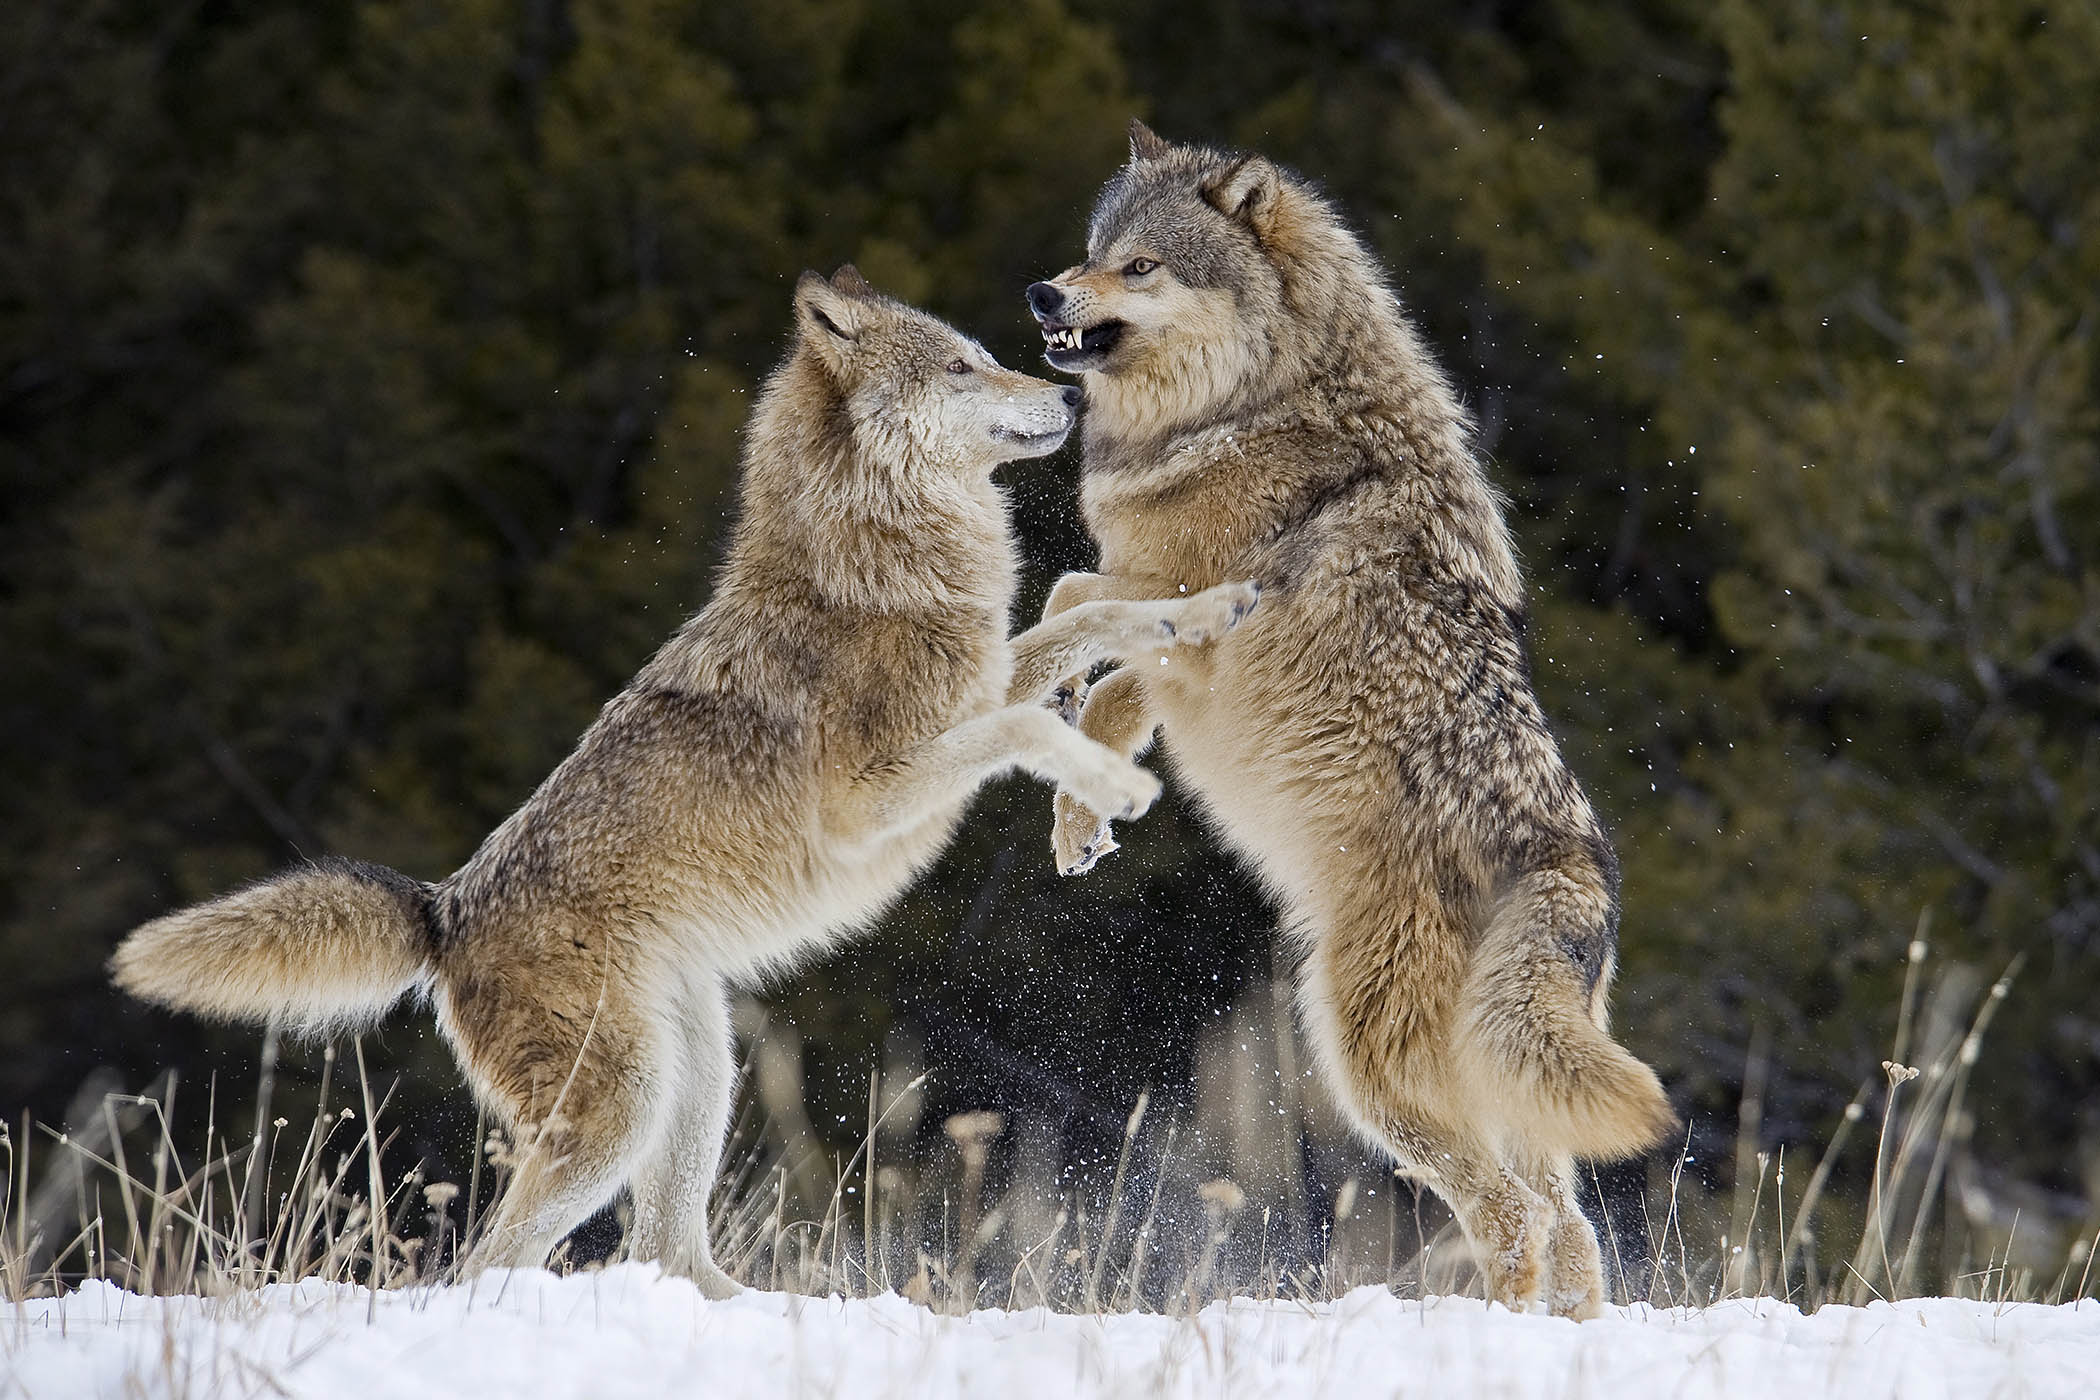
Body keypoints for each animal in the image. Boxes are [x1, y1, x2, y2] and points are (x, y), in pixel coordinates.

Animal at [111, 266, 1259, 1298]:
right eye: (962, 365)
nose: (1072, 396)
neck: (875, 566)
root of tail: (443, 911)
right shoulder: (878, 795)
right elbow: (1033, 710)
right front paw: (1118, 787)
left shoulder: (979, 686)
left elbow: (1092, 616)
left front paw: (1207, 612)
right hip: (620, 1111)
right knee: (491, 1263)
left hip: (699, 1076)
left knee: (665, 1248)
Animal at [1023, 123, 1674, 1318]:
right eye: (1092, 250)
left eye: (1140, 266)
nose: (1043, 291)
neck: (1247, 407)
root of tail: (1570, 861)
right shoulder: (1170, 634)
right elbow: (1090, 641)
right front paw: (1079, 787)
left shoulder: (1189, 615)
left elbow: (1078, 613)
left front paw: (1071, 773)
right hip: (1501, 1093)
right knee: (1568, 1226)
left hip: (1363, 1063)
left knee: (1512, 1218)